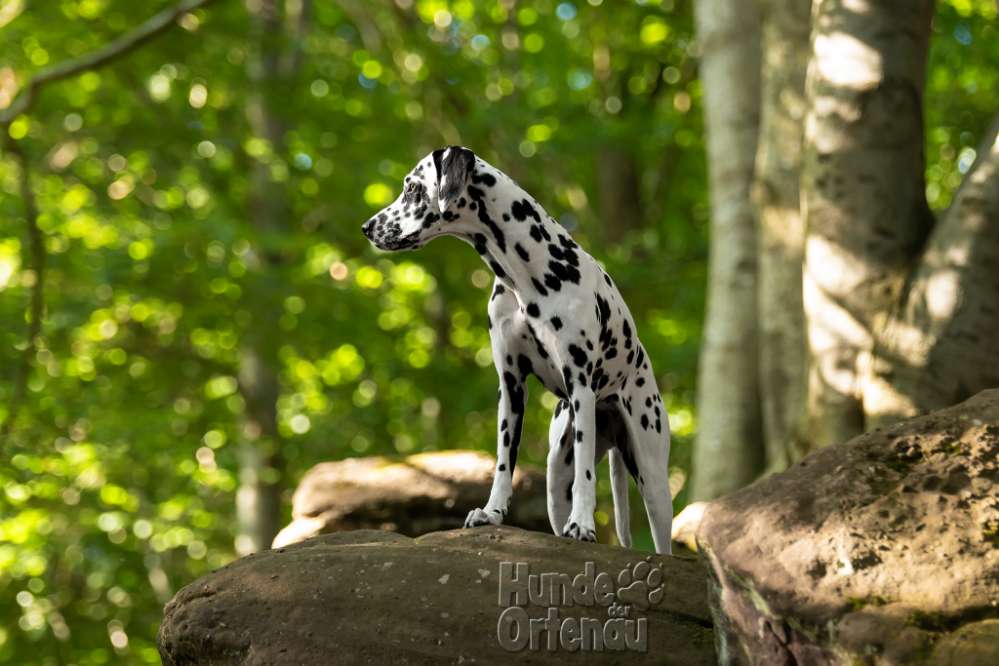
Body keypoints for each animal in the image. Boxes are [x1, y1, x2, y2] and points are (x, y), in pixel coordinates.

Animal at [360, 148, 672, 552]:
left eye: (412, 187)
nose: (367, 227)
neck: (526, 276)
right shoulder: (510, 385)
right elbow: (503, 462)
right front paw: (491, 513)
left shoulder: (581, 386)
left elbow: (587, 474)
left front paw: (583, 525)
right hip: (555, 480)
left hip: (653, 480)